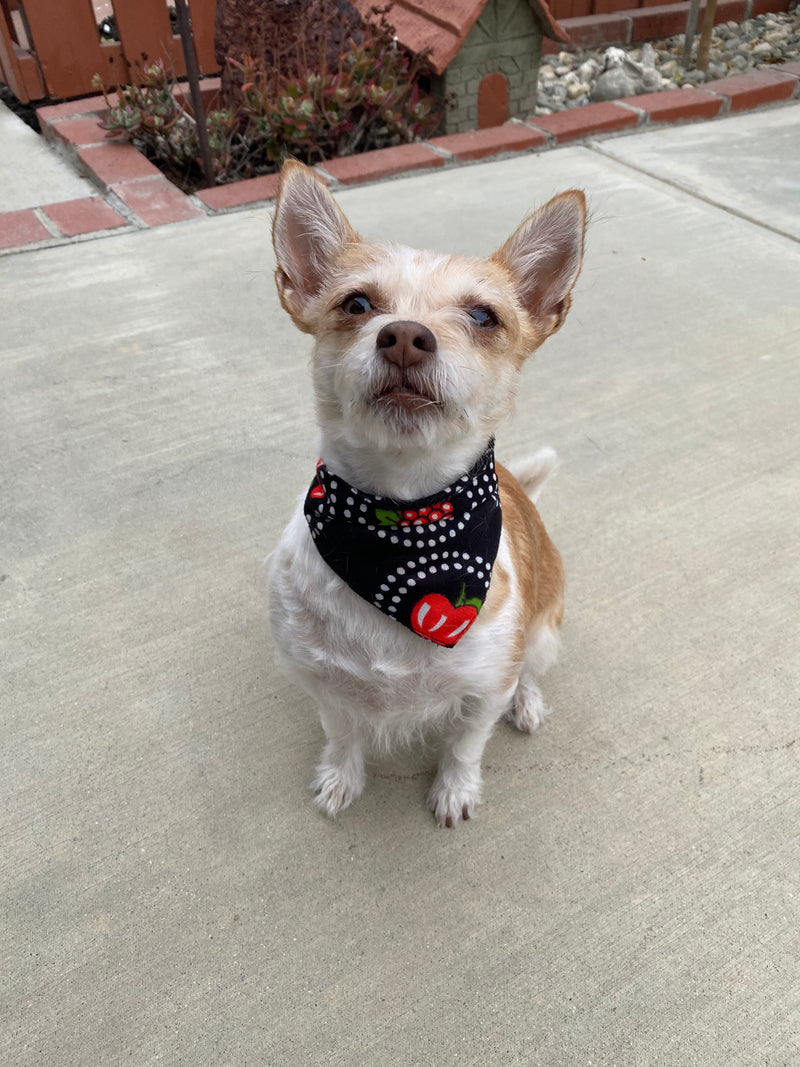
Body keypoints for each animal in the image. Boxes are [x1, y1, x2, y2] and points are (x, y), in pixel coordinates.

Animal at [266, 160, 584, 823]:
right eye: (357, 303)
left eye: (484, 316)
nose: (405, 336)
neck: (405, 520)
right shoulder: (322, 682)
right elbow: (342, 734)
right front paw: (341, 778)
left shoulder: (485, 687)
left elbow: (465, 744)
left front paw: (454, 791)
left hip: (543, 635)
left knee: (532, 673)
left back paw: (528, 704)